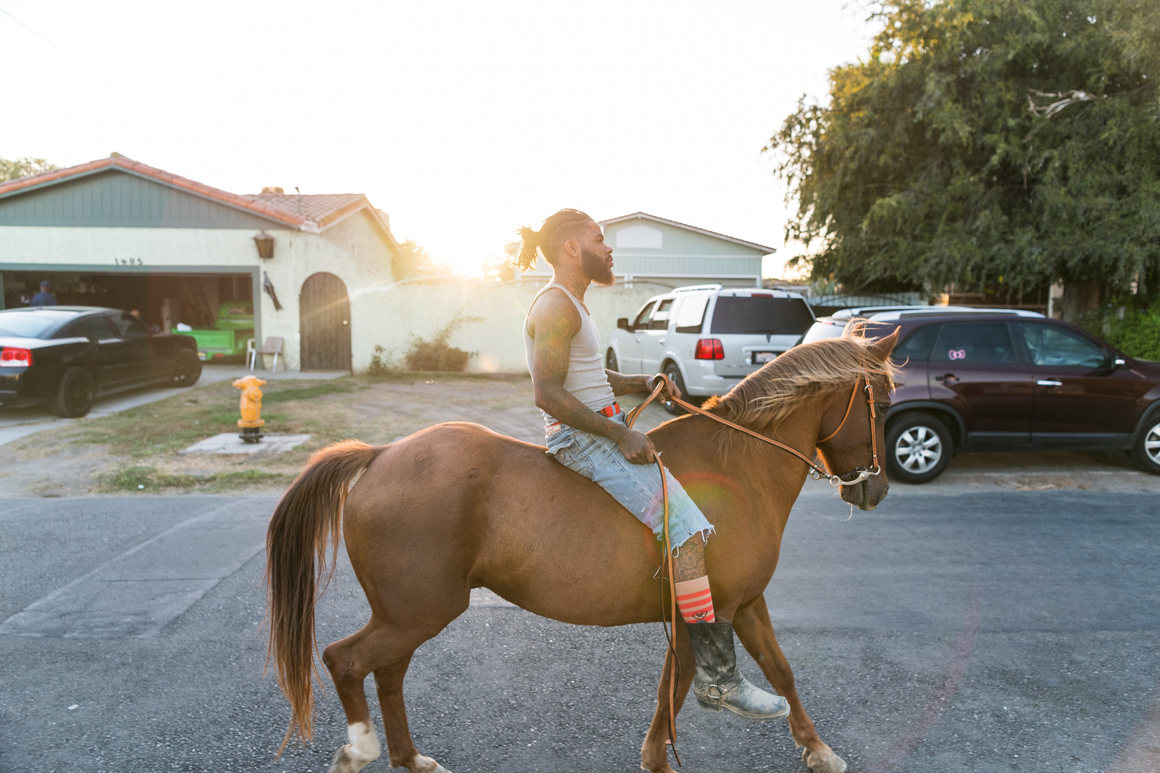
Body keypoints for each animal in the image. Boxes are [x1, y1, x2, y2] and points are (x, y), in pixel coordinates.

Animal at [266, 327, 900, 770]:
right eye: (886, 403)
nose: (875, 489)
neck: (737, 464)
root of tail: (380, 455)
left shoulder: (737, 603)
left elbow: (768, 670)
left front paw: (815, 749)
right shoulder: (718, 602)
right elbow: (693, 682)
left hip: (406, 614)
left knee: (388, 673)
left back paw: (409, 758)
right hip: (416, 611)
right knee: (346, 661)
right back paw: (362, 750)